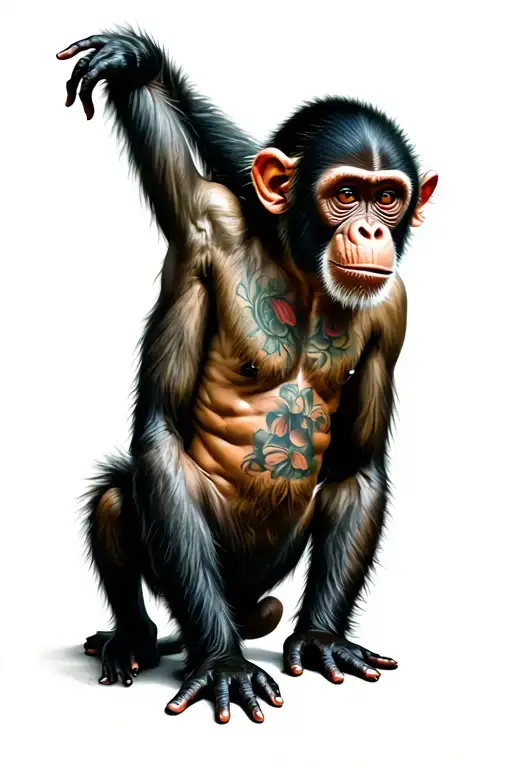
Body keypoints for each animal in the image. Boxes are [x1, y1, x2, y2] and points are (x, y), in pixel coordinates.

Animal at [56, 28, 438, 724]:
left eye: (388, 195)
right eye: (346, 194)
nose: (373, 227)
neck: (303, 268)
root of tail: (241, 606)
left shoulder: (394, 309)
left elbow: (357, 467)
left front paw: (323, 640)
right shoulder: (204, 227)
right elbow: (159, 433)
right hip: (194, 578)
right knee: (120, 497)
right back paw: (140, 639)